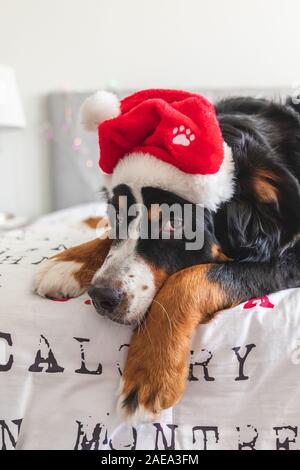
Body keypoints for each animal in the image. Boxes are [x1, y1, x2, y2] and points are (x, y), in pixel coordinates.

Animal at [32, 94, 300, 422]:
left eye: (174, 223)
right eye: (116, 212)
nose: (101, 296)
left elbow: (188, 279)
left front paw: (150, 372)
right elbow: (108, 238)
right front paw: (69, 262)